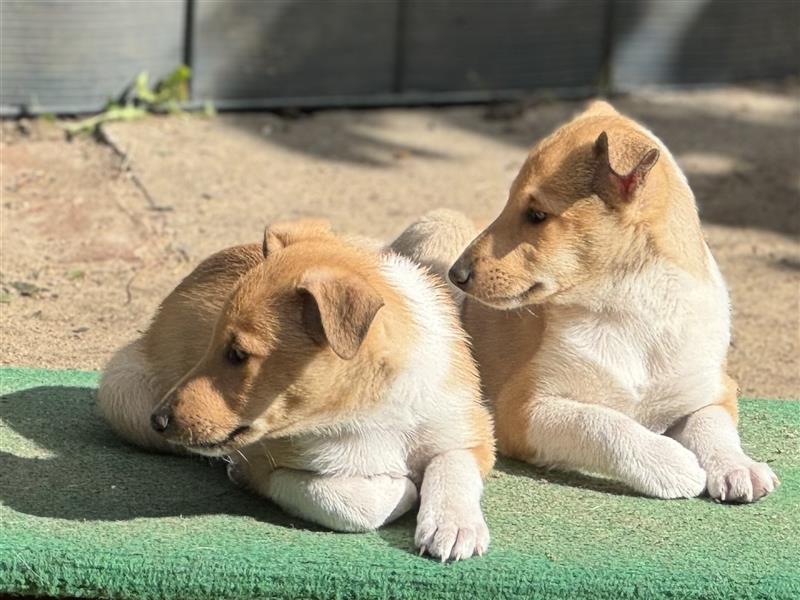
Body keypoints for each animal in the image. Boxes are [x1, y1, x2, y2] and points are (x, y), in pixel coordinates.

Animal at [97, 221, 496, 564]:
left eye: (238, 354)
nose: (159, 420)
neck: (370, 412)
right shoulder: (263, 466)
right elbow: (347, 500)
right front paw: (402, 488)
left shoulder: (469, 427)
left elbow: (452, 464)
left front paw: (452, 527)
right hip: (123, 393)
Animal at [396, 102, 780, 502]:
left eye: (537, 215)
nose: (457, 273)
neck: (631, 310)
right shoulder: (522, 408)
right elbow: (601, 422)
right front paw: (673, 465)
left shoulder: (712, 390)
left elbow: (713, 426)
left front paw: (738, 467)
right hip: (443, 227)